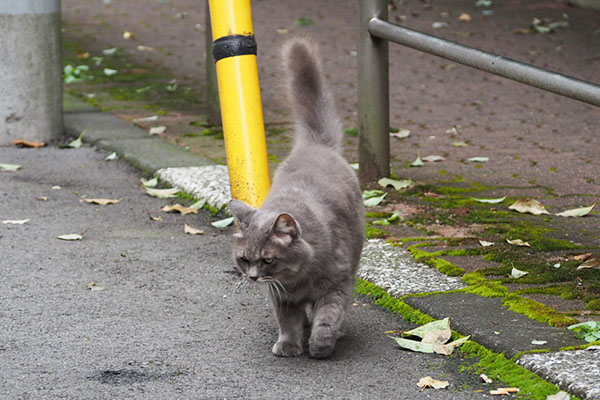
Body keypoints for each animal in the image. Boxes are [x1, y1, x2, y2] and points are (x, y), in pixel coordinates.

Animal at [227, 38, 364, 360]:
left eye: (268, 260)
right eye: (244, 259)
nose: (252, 277)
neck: (297, 279)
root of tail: (315, 144)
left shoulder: (336, 286)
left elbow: (328, 316)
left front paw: (321, 345)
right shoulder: (281, 296)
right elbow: (287, 321)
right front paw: (289, 345)